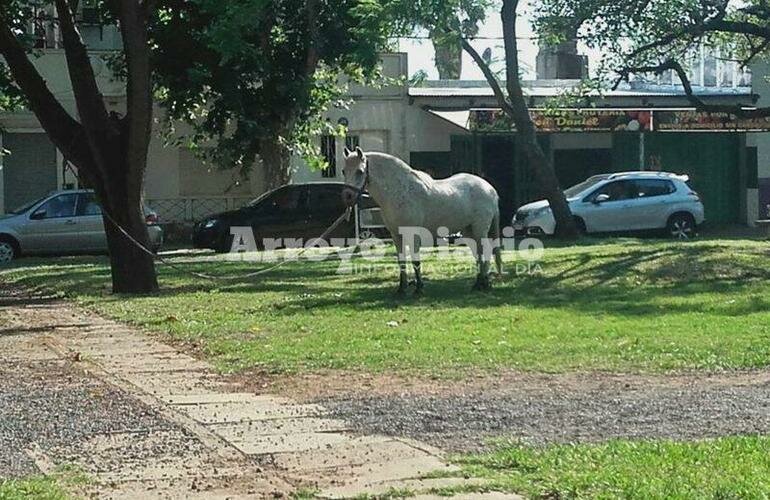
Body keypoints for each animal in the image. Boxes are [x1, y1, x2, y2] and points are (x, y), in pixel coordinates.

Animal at [340, 146, 498, 294]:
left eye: (360, 171)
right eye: (343, 171)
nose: (347, 197)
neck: (400, 191)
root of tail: (489, 189)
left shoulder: (412, 234)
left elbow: (415, 260)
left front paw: (419, 288)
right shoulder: (396, 235)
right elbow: (401, 261)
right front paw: (402, 289)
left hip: (479, 230)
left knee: (485, 251)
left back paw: (483, 284)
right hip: (468, 231)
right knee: (478, 254)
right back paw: (479, 283)